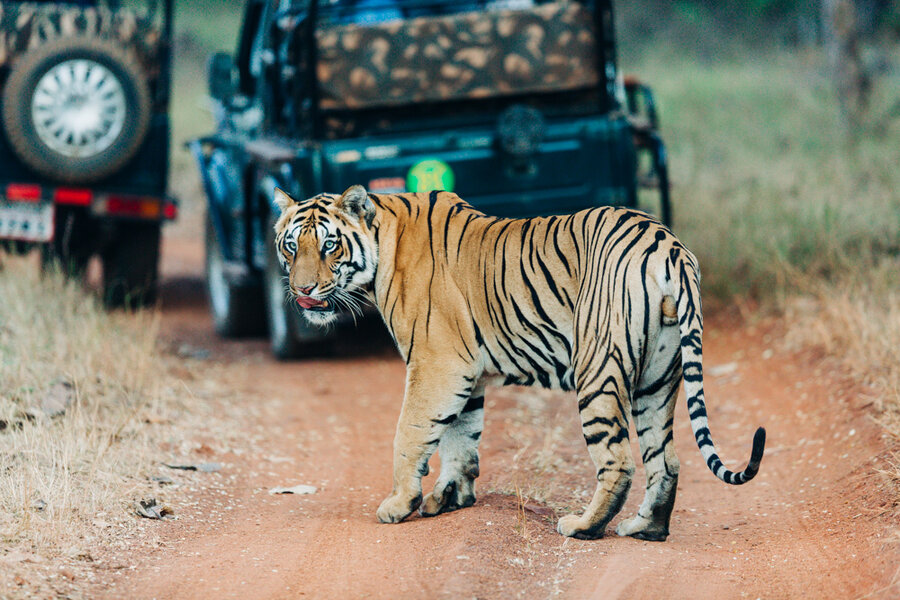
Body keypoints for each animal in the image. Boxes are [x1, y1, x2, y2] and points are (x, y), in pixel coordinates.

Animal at [274, 185, 768, 540]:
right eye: (291, 247)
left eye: (330, 246)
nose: (302, 291)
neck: (383, 246)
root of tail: (669, 245)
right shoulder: (465, 373)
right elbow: (461, 438)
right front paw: (450, 498)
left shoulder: (436, 365)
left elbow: (411, 434)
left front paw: (399, 504)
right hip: (658, 377)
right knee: (665, 460)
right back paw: (646, 528)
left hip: (598, 370)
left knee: (619, 460)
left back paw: (583, 527)